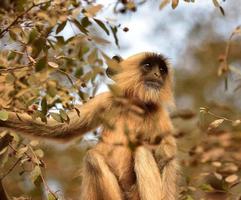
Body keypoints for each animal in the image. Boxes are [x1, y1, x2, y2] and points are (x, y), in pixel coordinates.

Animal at [0, 52, 177, 200]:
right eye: (148, 66)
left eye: (162, 70)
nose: (157, 74)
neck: (134, 105)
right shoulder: (106, 100)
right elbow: (62, 129)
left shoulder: (159, 113)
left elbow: (167, 159)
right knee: (93, 158)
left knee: (141, 151)